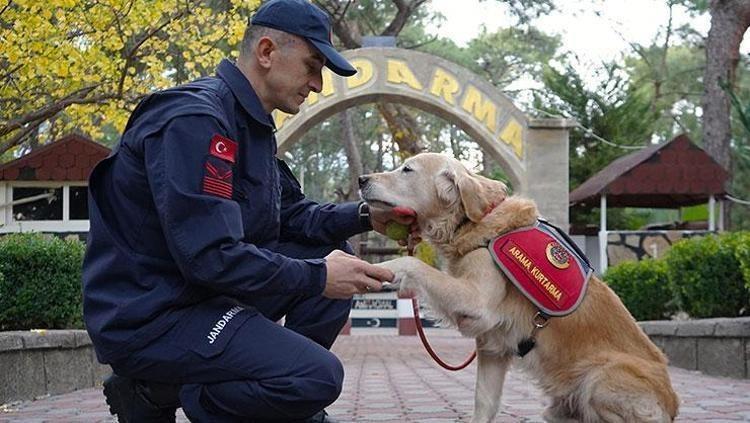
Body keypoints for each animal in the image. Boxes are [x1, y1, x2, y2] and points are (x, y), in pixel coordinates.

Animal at [360, 153, 679, 423]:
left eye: (407, 169)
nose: (362, 179)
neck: (470, 222)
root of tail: (672, 405)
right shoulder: (492, 346)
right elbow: (484, 402)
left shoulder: (476, 301)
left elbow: (414, 264)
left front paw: (391, 267)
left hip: (600, 378)